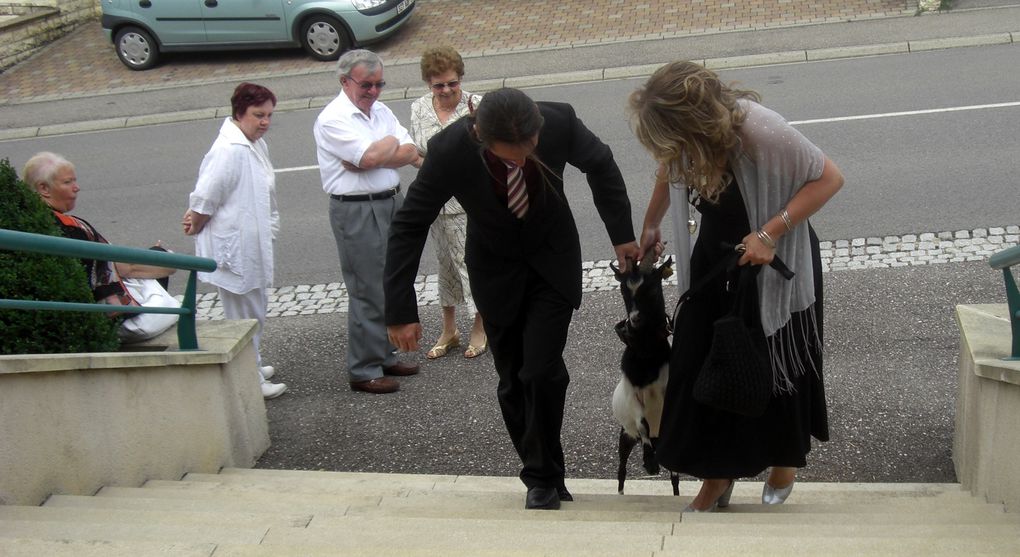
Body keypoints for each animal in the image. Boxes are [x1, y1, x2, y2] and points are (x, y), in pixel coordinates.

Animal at [603, 254, 677, 491]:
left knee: (674, 478)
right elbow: (643, 421)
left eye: (652, 289)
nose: (634, 318)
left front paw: (652, 461)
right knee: (622, 471)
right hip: (626, 436)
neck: (646, 357)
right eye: (623, 291)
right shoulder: (632, 397)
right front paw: (649, 463)